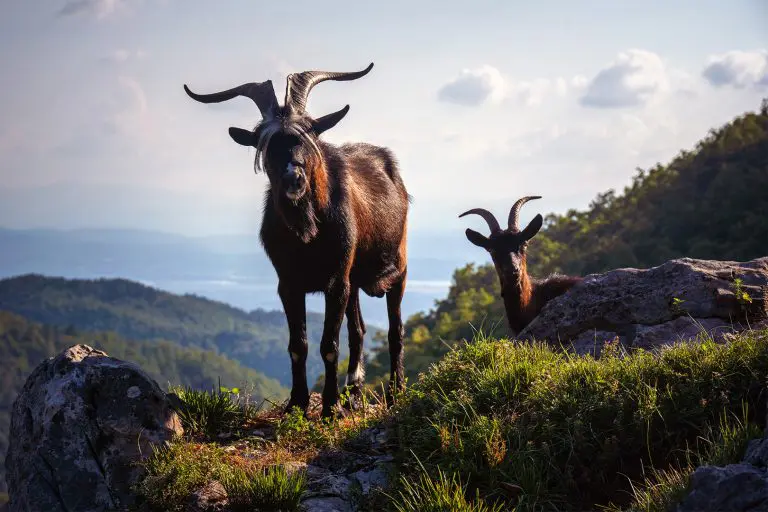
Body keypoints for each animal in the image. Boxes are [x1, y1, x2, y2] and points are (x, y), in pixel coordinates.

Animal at [184, 63, 412, 416]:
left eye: (309, 133)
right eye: (265, 142)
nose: (294, 177)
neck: (308, 234)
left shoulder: (336, 281)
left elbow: (329, 345)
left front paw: (331, 407)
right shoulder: (288, 283)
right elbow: (298, 345)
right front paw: (298, 403)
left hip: (398, 267)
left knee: (395, 330)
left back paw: (395, 390)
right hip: (355, 281)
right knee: (358, 331)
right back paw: (354, 393)